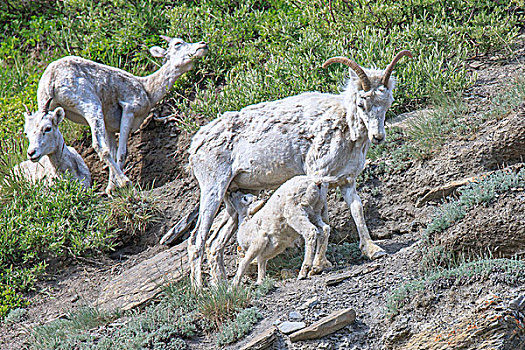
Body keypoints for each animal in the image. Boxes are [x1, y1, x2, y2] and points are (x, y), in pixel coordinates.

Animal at [32, 35, 208, 194]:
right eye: (178, 43)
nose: (203, 45)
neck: (148, 90)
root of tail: (51, 80)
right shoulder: (129, 110)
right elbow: (122, 153)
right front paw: (120, 186)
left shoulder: (110, 128)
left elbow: (113, 151)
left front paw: (111, 189)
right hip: (90, 105)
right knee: (98, 145)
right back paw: (126, 182)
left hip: (46, 110)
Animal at [182, 50, 412, 288]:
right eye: (361, 104)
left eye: (387, 102)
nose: (378, 137)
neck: (345, 128)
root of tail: (195, 145)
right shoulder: (318, 174)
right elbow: (325, 216)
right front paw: (320, 265)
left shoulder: (347, 180)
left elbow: (357, 210)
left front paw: (373, 251)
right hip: (213, 189)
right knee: (196, 240)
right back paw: (200, 288)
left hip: (236, 195)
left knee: (215, 242)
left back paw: (222, 286)